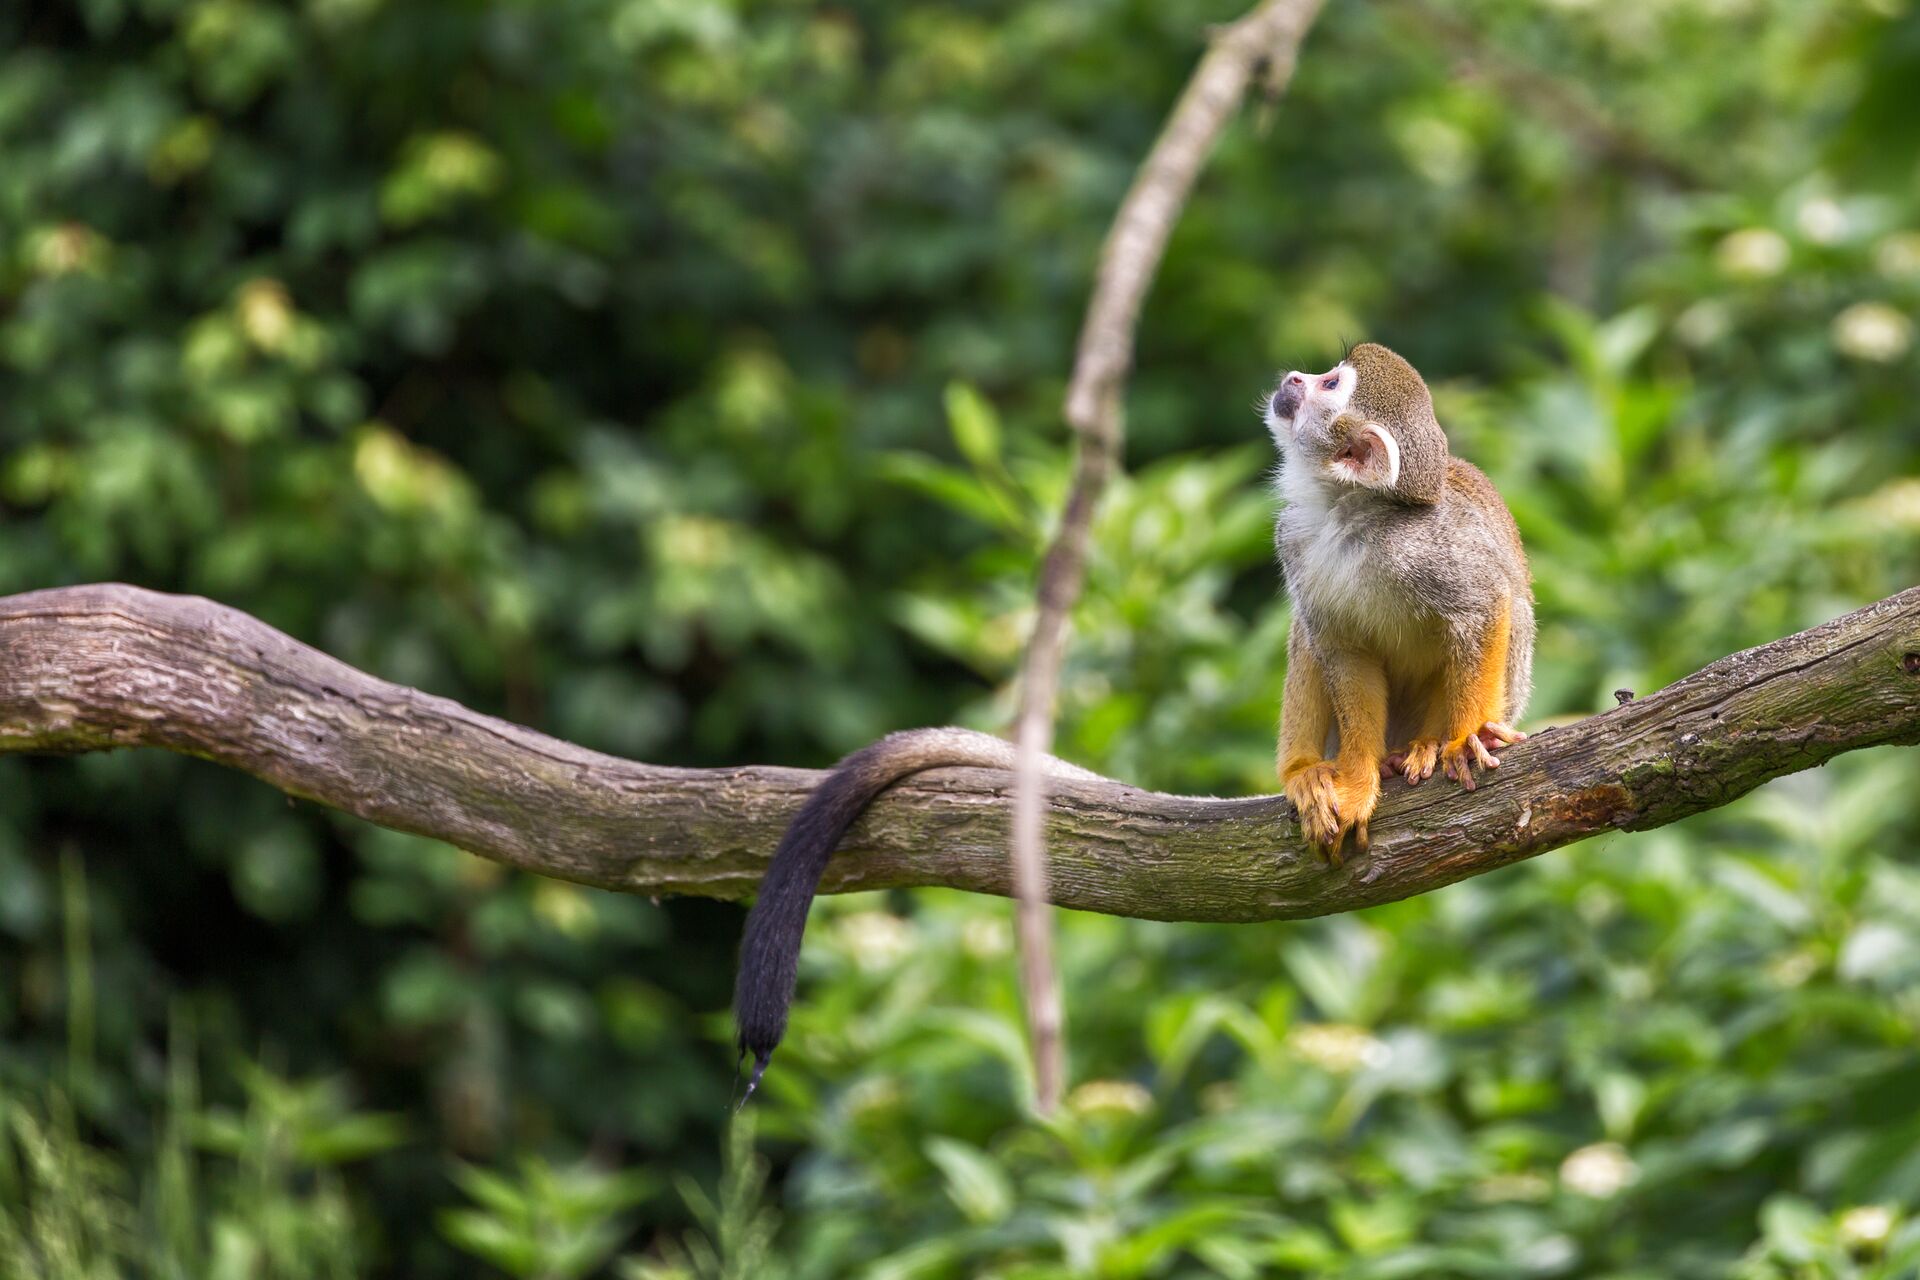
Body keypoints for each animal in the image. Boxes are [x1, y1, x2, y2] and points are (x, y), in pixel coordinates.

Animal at [1265, 342, 1533, 864]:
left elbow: (1486, 600)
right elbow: (1341, 649)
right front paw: (1357, 779)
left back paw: (1429, 742)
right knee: (1308, 632)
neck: (1344, 511)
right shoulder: (1291, 537)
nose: (1293, 379)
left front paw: (1467, 736)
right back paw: (1305, 769)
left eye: (1329, 383)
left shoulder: (1421, 544)